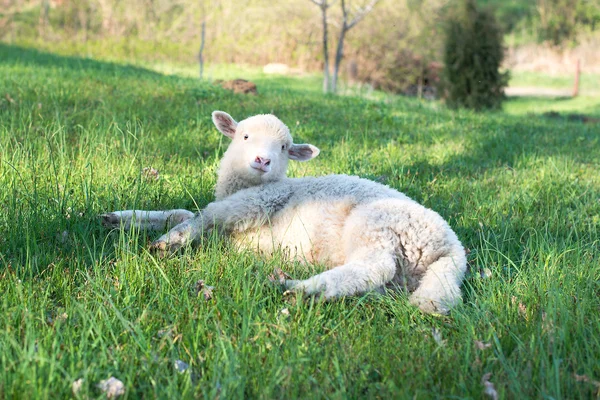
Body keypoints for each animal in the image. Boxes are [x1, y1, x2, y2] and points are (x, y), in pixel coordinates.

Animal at [102, 111, 468, 314]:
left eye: (283, 148)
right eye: (244, 136)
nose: (262, 160)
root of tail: (451, 249)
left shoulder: (254, 203)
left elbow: (201, 216)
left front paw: (166, 242)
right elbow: (180, 213)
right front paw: (123, 218)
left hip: (376, 226)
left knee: (374, 266)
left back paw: (305, 290)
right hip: (404, 273)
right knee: (378, 284)